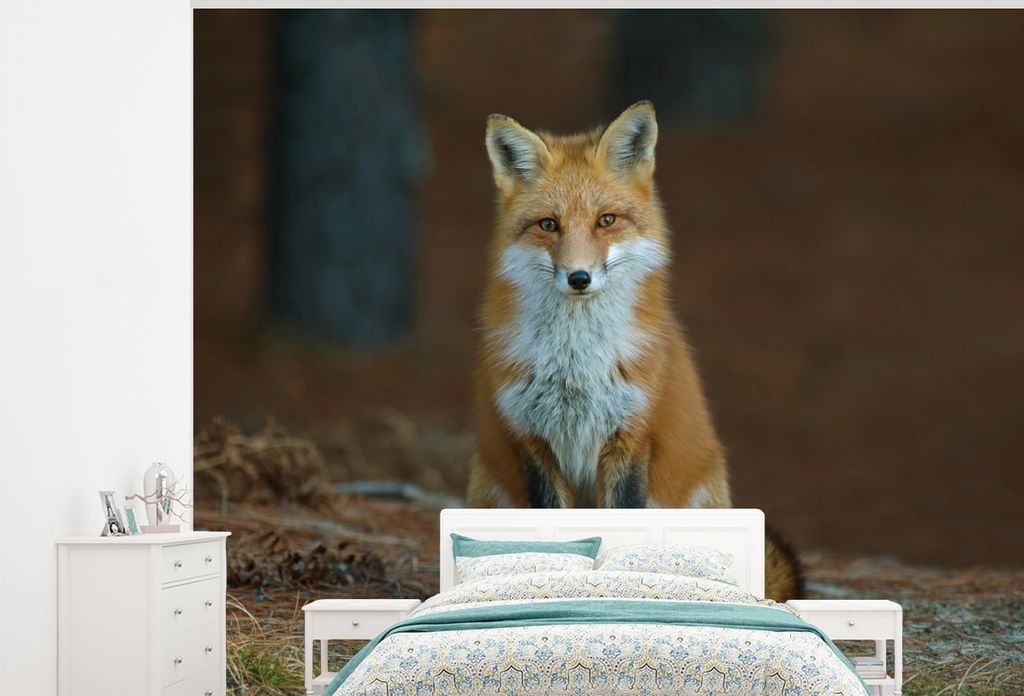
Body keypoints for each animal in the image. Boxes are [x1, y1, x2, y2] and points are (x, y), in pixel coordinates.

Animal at [465, 101, 804, 602]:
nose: (579, 278)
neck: (577, 366)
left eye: (606, 220)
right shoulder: (534, 440)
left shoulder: (630, 435)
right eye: (549, 224)